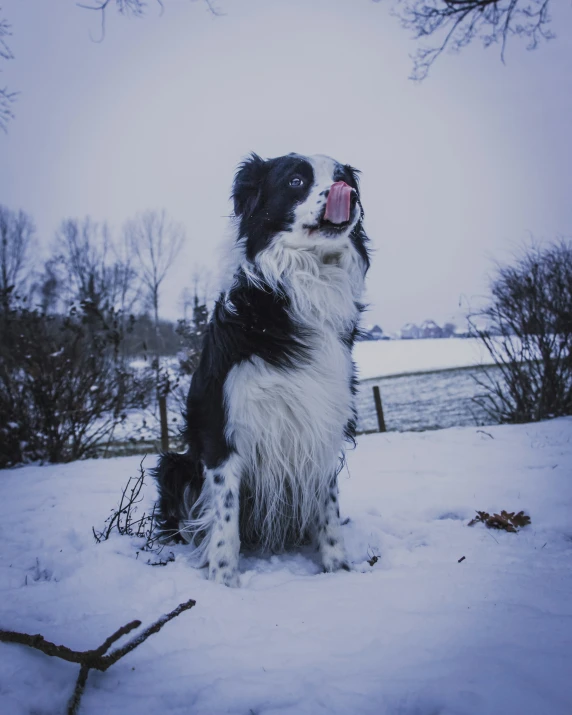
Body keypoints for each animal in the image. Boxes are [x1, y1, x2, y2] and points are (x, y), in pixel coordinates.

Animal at [153, 152, 370, 588]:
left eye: (343, 177)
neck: (305, 278)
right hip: (174, 465)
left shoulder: (325, 420)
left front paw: (338, 571)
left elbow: (329, 510)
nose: (350, 195)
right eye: (296, 181)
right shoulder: (222, 428)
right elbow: (224, 519)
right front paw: (224, 583)